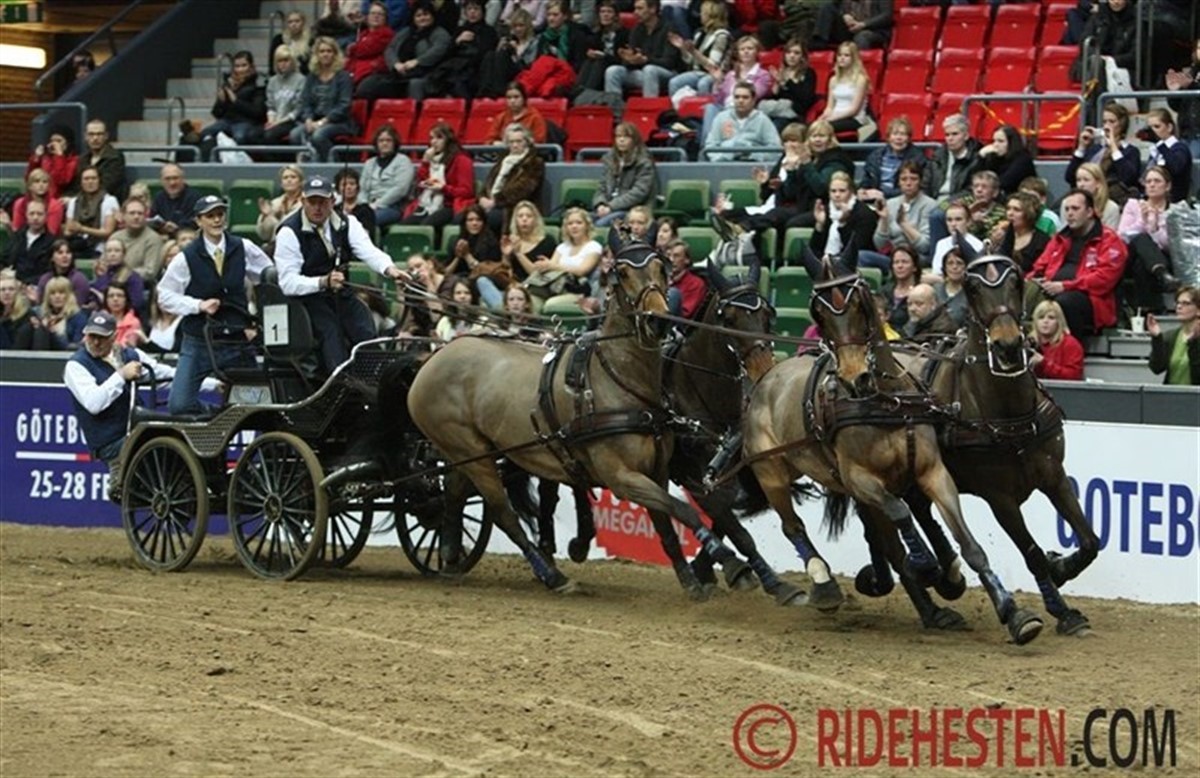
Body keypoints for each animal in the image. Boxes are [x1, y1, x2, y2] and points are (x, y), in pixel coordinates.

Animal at [406, 242, 749, 595]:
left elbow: (667, 524)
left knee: (454, 493)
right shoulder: (621, 477)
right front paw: (728, 560)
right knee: (504, 515)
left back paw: (449, 556)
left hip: (470, 452)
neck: (616, 380)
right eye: (622, 272)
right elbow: (684, 510)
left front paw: (691, 580)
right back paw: (552, 575)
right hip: (471, 454)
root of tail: (435, 358)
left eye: (662, 268)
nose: (656, 320)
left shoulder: (658, 471)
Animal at [741, 266, 1046, 644]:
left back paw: (933, 610)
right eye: (820, 314)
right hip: (771, 473)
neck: (887, 402)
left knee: (884, 541)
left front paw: (1014, 614)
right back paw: (827, 586)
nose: (855, 378)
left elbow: (969, 545)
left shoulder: (933, 472)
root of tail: (767, 377)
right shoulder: (861, 479)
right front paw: (927, 565)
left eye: (860, 305)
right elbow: (901, 517)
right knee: (794, 526)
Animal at [867, 253, 1099, 636]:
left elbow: (1091, 540)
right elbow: (1032, 554)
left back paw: (942, 574)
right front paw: (1060, 611)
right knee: (895, 533)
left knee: (920, 512)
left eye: (1016, 280)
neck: (1009, 413)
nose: (1008, 346)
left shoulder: (1054, 476)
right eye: (973, 288)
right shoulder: (1000, 497)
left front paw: (1062, 569)